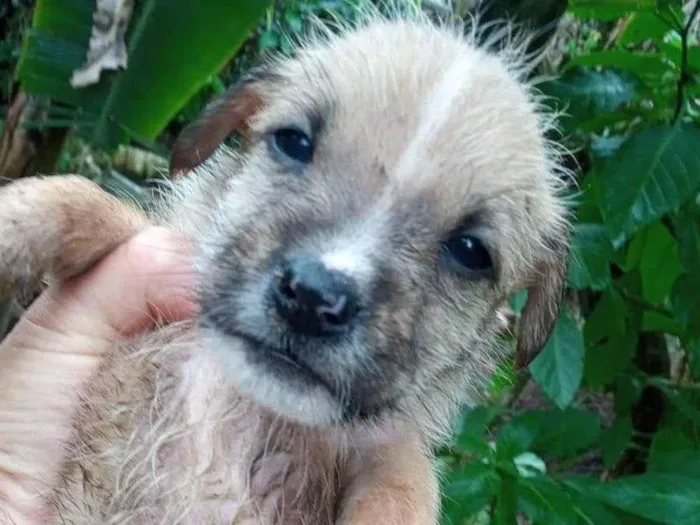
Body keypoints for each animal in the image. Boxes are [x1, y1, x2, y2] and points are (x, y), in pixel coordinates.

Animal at [0, 5, 568, 524]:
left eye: (471, 251)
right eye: (293, 141)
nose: (314, 298)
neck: (252, 402)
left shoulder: (388, 449)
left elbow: (404, 491)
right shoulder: (159, 243)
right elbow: (85, 201)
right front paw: (13, 224)